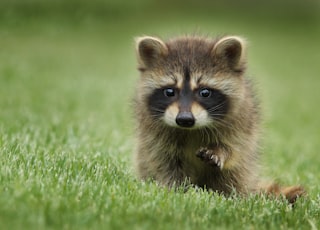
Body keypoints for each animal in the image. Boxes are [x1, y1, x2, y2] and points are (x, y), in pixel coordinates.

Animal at [133, 35, 304, 202]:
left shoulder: (241, 120)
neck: (192, 130)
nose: (185, 119)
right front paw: (177, 189)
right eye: (169, 92)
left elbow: (234, 148)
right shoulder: (154, 133)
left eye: (205, 92)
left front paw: (220, 152)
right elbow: (164, 161)